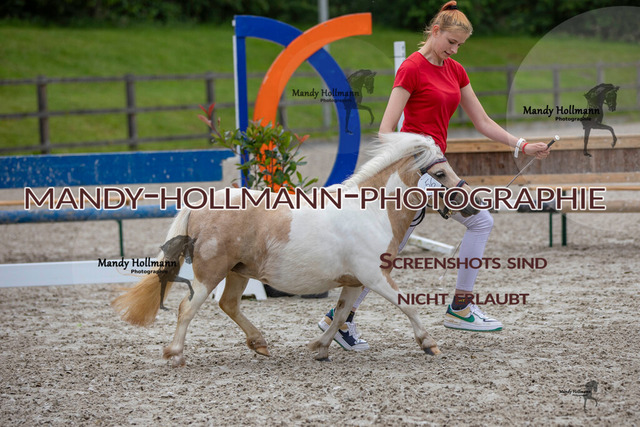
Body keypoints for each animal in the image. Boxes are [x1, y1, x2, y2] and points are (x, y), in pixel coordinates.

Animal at [111, 132, 480, 366]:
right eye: (441, 173)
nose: (471, 204)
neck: (372, 211)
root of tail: (202, 205)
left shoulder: (354, 281)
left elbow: (341, 314)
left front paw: (320, 348)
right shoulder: (375, 277)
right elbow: (408, 305)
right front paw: (429, 344)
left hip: (237, 273)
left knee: (228, 305)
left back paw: (259, 344)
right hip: (210, 273)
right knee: (187, 309)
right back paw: (175, 353)